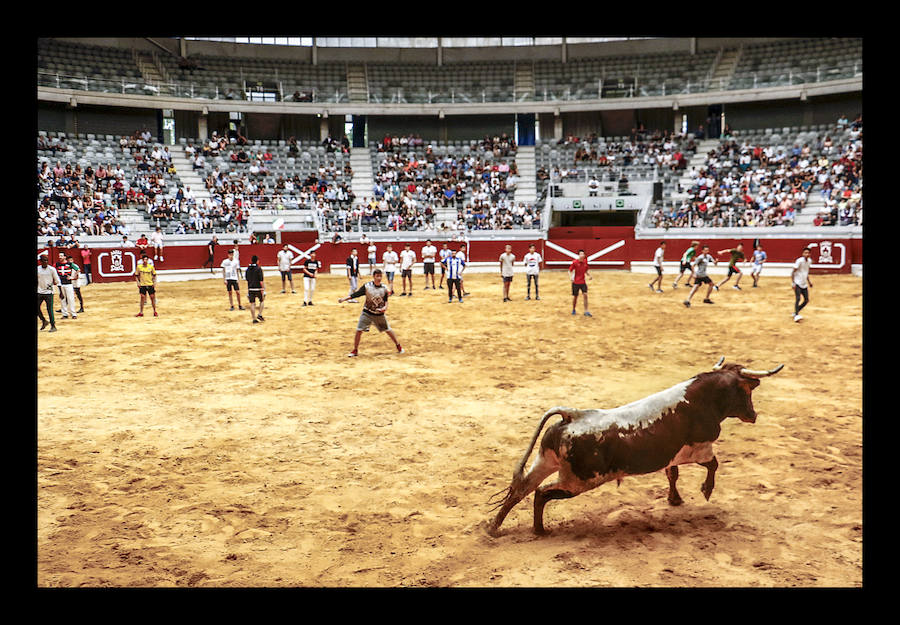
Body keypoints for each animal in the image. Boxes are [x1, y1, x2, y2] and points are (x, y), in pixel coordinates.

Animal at [488, 358, 784, 532]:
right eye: (746, 390)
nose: (753, 415)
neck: (702, 400)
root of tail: (574, 415)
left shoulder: (673, 456)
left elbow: (672, 474)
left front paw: (675, 499)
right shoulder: (700, 449)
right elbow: (713, 465)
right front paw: (706, 491)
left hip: (545, 461)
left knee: (521, 489)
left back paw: (493, 528)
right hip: (578, 481)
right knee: (541, 493)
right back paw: (538, 530)